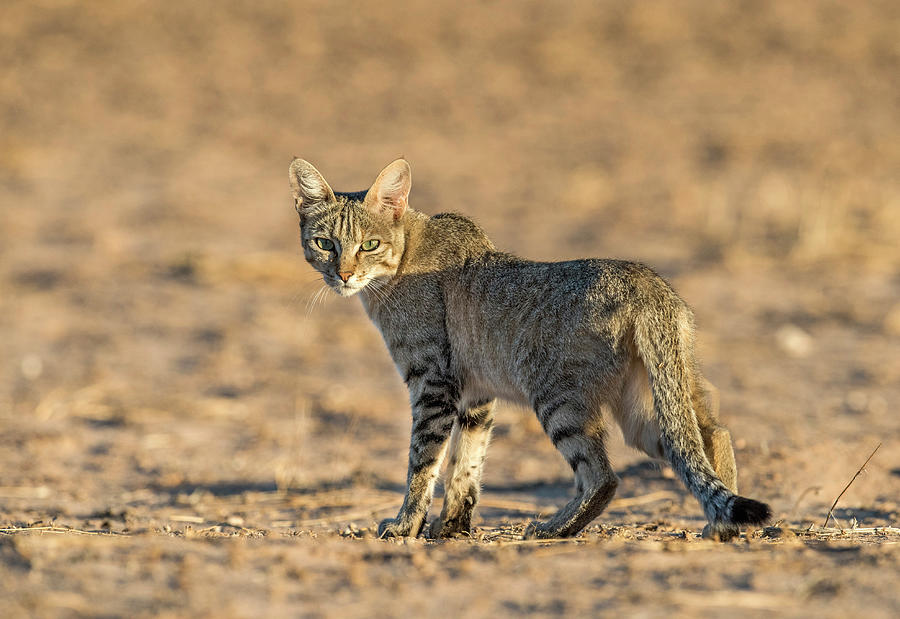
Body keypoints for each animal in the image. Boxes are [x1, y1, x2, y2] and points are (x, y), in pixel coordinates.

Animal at [292, 157, 768, 540]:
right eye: (324, 243)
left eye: (369, 244)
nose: (344, 274)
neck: (401, 262)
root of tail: (648, 283)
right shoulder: (476, 394)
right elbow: (467, 462)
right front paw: (452, 526)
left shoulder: (432, 385)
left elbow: (423, 462)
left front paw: (406, 525)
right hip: (648, 406)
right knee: (712, 435)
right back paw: (721, 526)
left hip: (558, 400)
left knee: (604, 476)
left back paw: (554, 529)